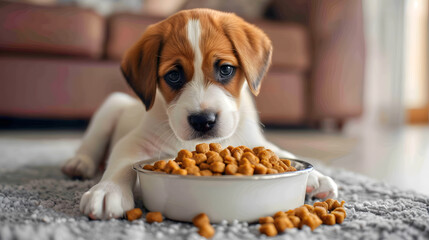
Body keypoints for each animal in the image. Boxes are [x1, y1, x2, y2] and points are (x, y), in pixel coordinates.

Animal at [61, 8, 336, 219]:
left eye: (225, 69)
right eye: (173, 75)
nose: (203, 121)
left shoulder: (252, 141)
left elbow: (278, 151)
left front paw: (317, 176)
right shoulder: (135, 142)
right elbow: (121, 164)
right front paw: (108, 191)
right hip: (111, 106)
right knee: (91, 145)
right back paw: (79, 163)